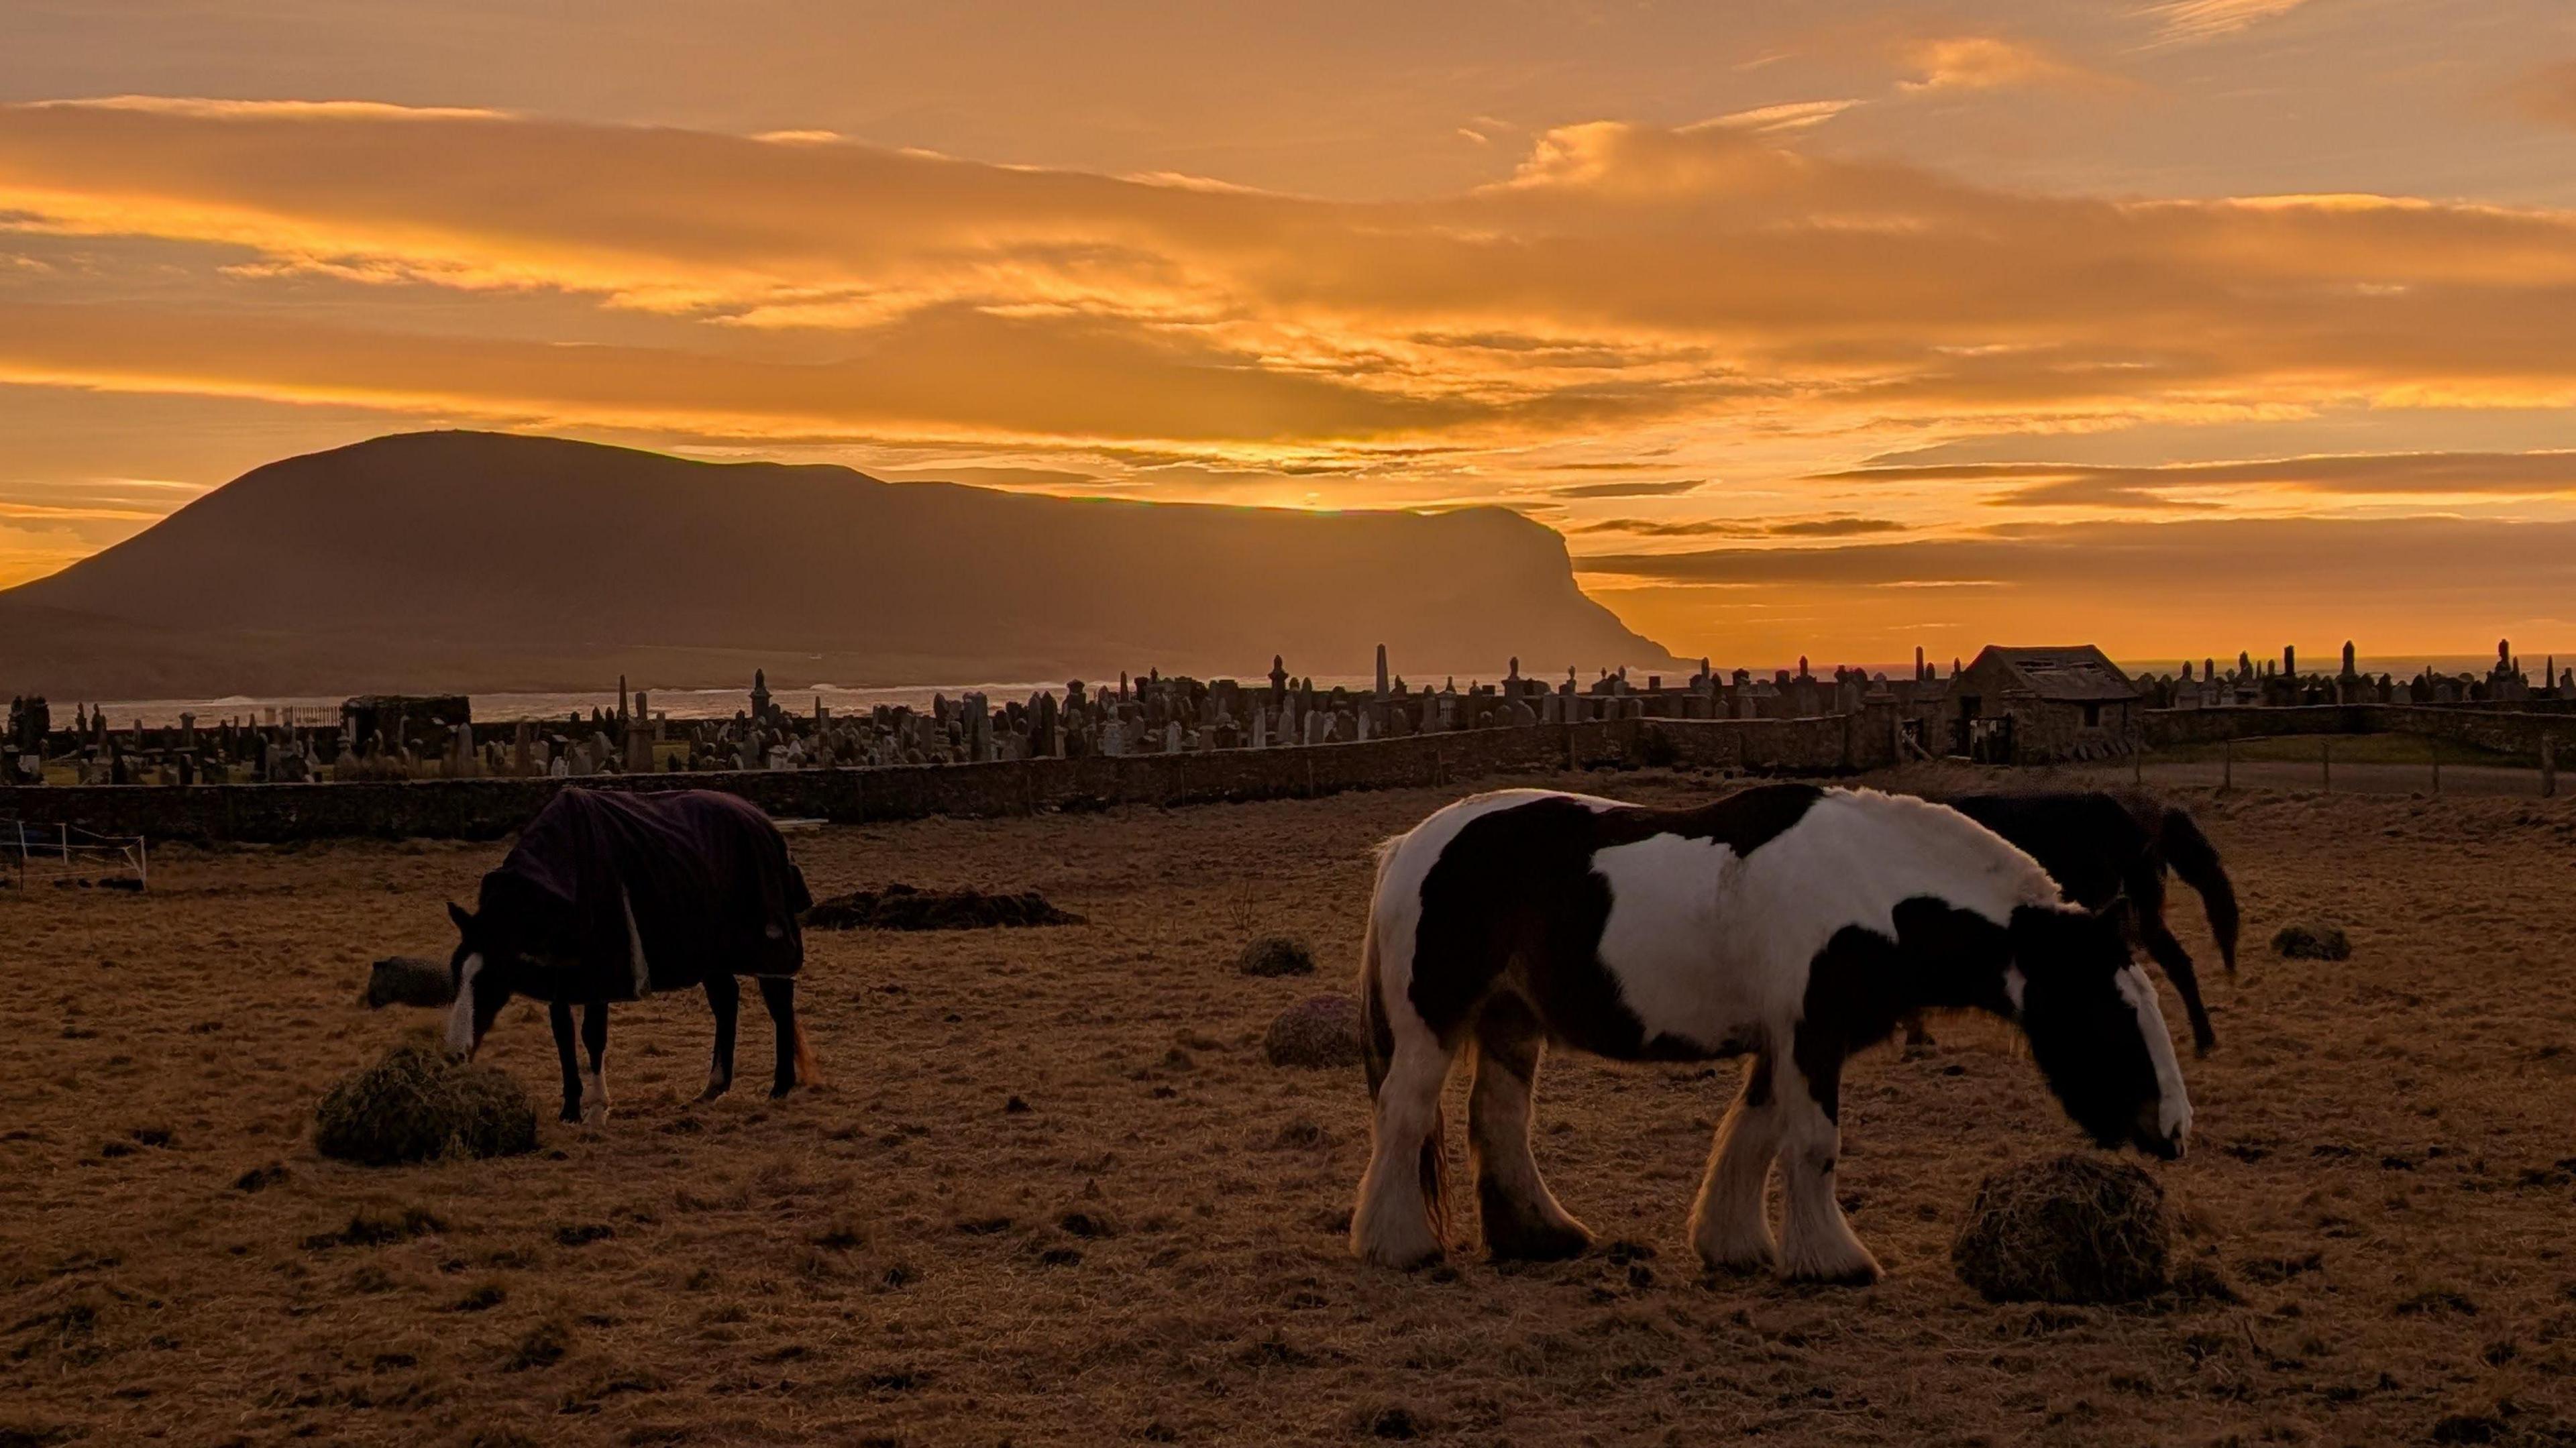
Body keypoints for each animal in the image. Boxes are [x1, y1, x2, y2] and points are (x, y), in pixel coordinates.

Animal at [445, 788, 814, 1118]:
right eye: (456, 973)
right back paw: (713, 1087)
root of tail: (763, 822)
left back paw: (780, 1086)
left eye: (490, 980)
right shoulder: (560, 977)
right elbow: (563, 1036)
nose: (455, 1055)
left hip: (769, 946)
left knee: (780, 1005)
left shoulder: (601, 973)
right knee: (726, 1002)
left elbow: (593, 1035)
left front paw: (597, 1108)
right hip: (711, 953)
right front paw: (570, 1109)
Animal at [1350, 783, 2194, 1278]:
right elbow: (1813, 1145)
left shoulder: (1784, 1042)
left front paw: (1733, 1242)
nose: (2175, 1129)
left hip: (1510, 1021)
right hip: (1432, 1027)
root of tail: (1408, 846)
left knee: (1499, 1118)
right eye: (2108, 1011)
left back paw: (1540, 1234)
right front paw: (1834, 1259)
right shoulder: (1811, 1037)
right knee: (1404, 1118)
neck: (1871, 887)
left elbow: (1753, 1134)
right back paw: (1397, 1244)